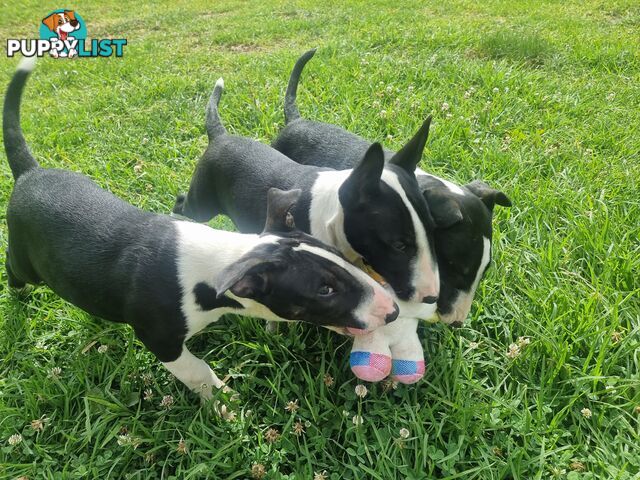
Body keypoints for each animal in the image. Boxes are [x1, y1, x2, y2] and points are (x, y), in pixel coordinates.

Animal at [2, 58, 398, 400]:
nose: (392, 311)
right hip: (27, 256)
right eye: (324, 290)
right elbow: (197, 372)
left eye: (335, 255)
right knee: (16, 270)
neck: (217, 259)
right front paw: (225, 404)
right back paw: (18, 292)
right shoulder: (161, 340)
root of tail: (30, 172)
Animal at [172, 77, 442, 306]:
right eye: (398, 245)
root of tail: (221, 136)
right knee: (183, 202)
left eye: (432, 229)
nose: (431, 297)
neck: (334, 216)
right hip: (202, 204)